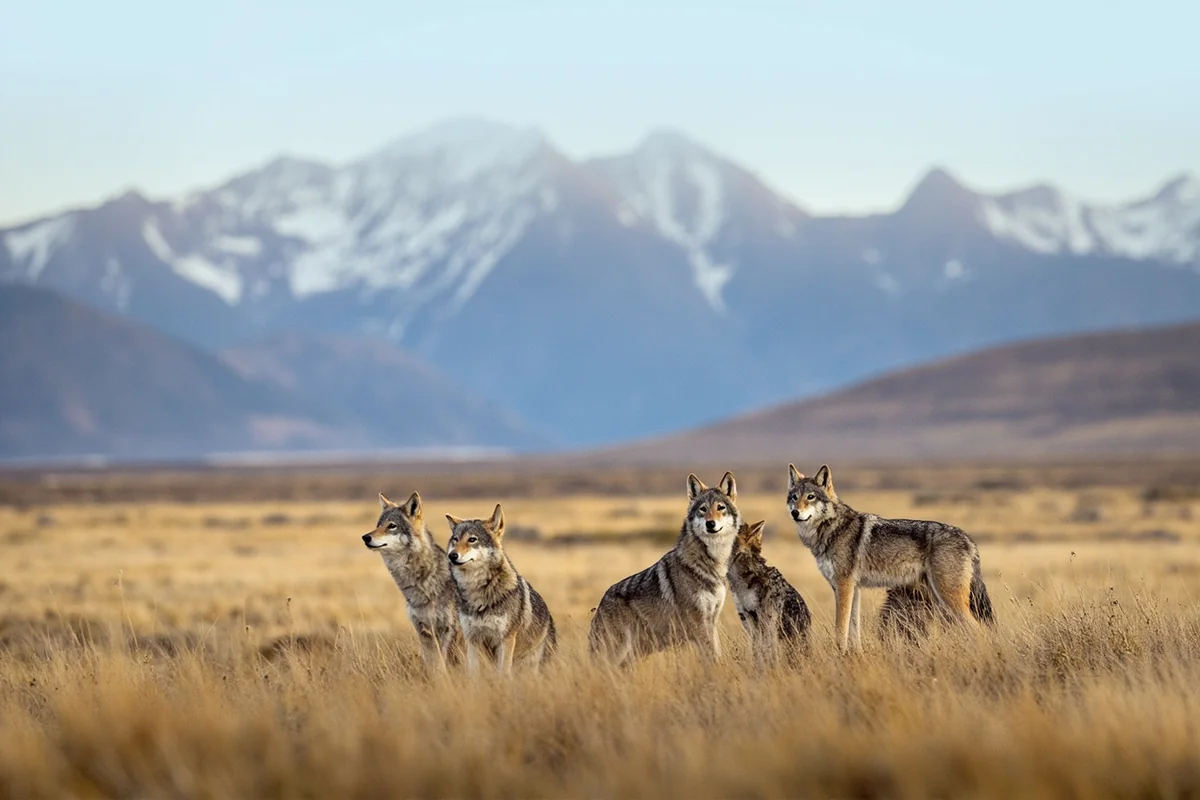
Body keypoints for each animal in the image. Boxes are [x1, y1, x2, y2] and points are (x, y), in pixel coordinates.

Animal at [363, 492, 464, 670]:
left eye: (392, 526)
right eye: (378, 525)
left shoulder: (450, 631)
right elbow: (434, 668)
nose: (365, 537)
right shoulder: (423, 631)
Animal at [446, 504, 556, 674]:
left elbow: (502, 674)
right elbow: (473, 674)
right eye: (455, 540)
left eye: (472, 540)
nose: (452, 555)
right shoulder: (472, 640)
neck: (477, 591)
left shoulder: (506, 640)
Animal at [588, 472, 741, 666]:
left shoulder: (711, 621)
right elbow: (711, 658)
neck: (710, 562)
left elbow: (716, 654)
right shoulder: (699, 623)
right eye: (703, 509)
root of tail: (600, 605)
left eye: (720, 507)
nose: (710, 523)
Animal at [786, 464, 994, 653]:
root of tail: (968, 538)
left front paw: (839, 654)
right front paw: (855, 654)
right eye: (794, 497)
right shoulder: (854, 588)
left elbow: (841, 628)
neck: (832, 528)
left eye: (810, 497)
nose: (795, 512)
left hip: (949, 599)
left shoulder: (843, 586)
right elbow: (854, 629)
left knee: (979, 630)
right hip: (940, 599)